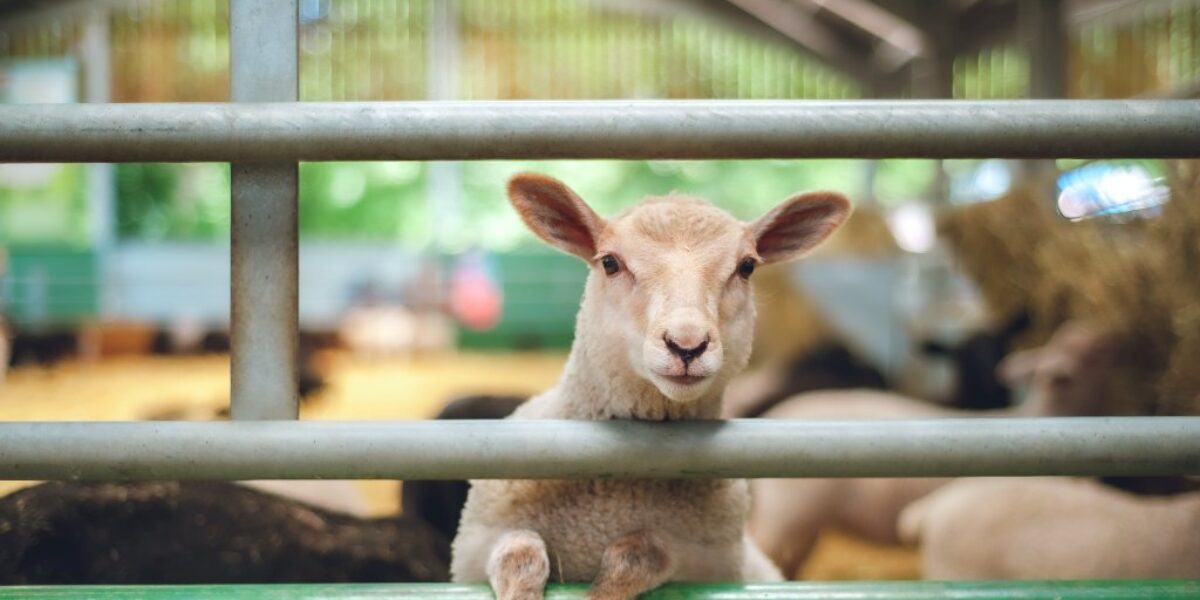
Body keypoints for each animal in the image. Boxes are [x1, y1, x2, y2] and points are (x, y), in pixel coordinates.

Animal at [451, 172, 854, 600]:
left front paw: (602, 591)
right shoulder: (475, 547)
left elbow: (639, 554)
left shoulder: (707, 562)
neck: (613, 496)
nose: (687, 344)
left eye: (746, 266)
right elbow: (519, 555)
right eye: (610, 262)